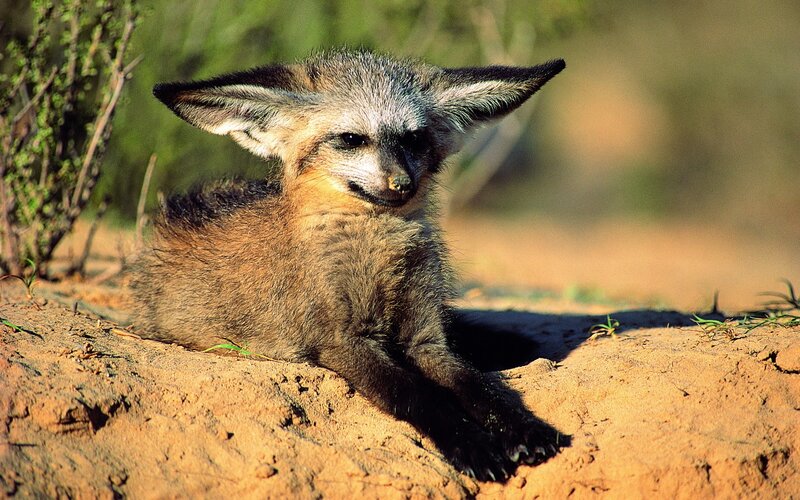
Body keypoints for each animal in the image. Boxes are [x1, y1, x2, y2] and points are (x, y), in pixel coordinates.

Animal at [132, 50, 566, 482]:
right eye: (352, 140)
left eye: (413, 139)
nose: (403, 184)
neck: (378, 253)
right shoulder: (342, 342)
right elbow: (419, 396)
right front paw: (473, 445)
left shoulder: (426, 339)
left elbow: (480, 388)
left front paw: (525, 429)